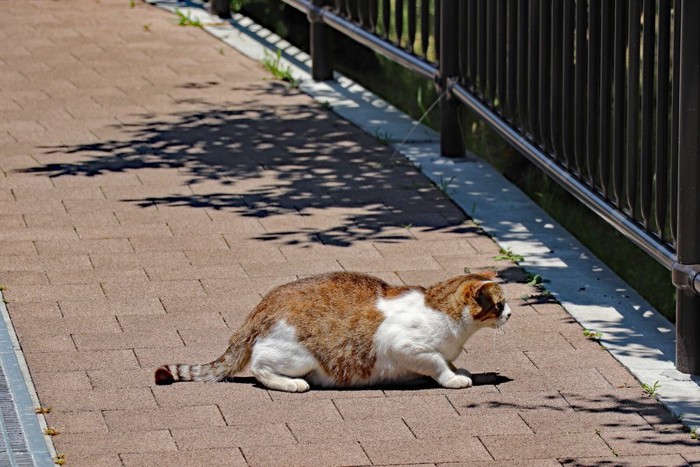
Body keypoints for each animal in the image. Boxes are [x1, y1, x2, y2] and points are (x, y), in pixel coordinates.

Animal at [156, 270, 512, 392]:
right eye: (499, 304)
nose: (511, 313)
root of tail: (261, 307)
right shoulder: (406, 347)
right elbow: (437, 363)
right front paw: (452, 377)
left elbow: (446, 360)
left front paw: (457, 368)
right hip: (299, 356)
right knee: (259, 367)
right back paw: (293, 384)